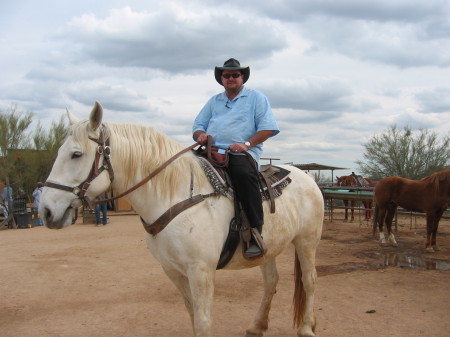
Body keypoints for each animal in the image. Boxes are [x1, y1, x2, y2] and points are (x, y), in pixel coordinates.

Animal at [39, 101, 324, 334]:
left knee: (310, 281)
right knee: (271, 282)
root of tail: (308, 177)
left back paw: (306, 328)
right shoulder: (173, 271)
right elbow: (192, 316)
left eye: (76, 154)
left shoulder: (201, 271)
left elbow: (203, 321)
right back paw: (257, 326)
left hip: (307, 241)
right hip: (269, 247)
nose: (46, 211)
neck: (178, 198)